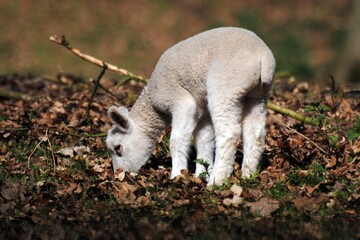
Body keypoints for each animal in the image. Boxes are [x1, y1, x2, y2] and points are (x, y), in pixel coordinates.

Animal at [106, 27, 276, 187]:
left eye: (118, 148)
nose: (119, 174)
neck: (153, 104)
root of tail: (262, 57)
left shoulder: (179, 101)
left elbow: (177, 140)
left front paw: (177, 175)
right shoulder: (203, 111)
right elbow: (203, 141)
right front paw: (201, 174)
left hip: (226, 86)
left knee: (229, 133)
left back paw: (217, 180)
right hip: (258, 95)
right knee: (255, 134)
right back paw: (247, 175)